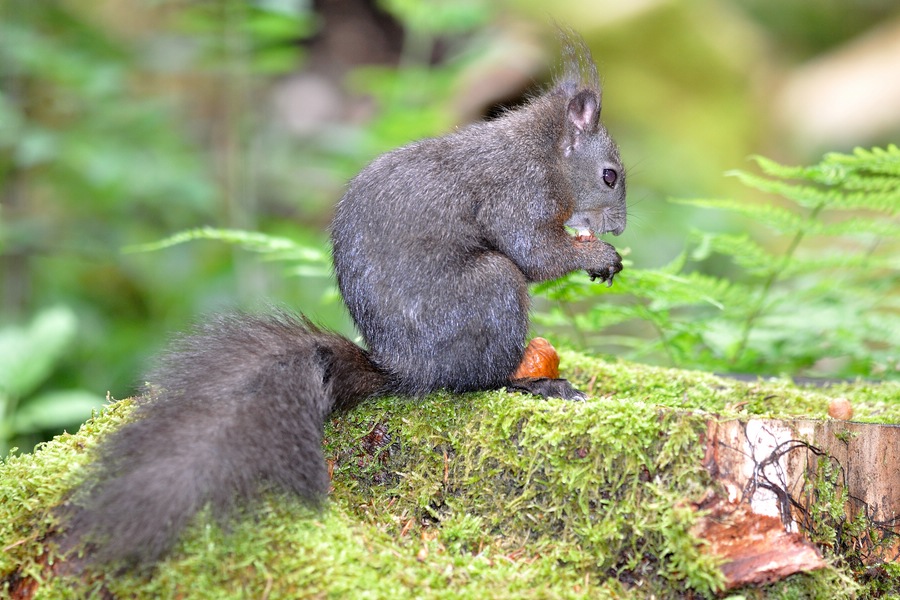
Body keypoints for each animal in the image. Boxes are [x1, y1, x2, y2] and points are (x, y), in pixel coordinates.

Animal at [62, 30, 626, 569]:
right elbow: (534, 254)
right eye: (610, 175)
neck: (542, 150)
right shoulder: (517, 194)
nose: (620, 227)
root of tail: (409, 370)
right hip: (494, 289)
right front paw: (598, 256)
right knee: (476, 379)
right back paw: (534, 384)